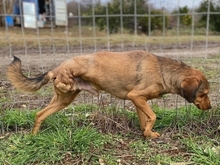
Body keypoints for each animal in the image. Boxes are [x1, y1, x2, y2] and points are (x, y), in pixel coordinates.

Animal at [6, 51, 211, 139]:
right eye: (204, 94)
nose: (210, 107)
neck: (163, 71)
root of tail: (55, 69)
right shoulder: (137, 97)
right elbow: (152, 116)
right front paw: (148, 132)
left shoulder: (138, 101)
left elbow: (145, 120)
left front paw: (147, 134)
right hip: (66, 94)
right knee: (42, 113)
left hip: (64, 100)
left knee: (39, 114)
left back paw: (33, 137)